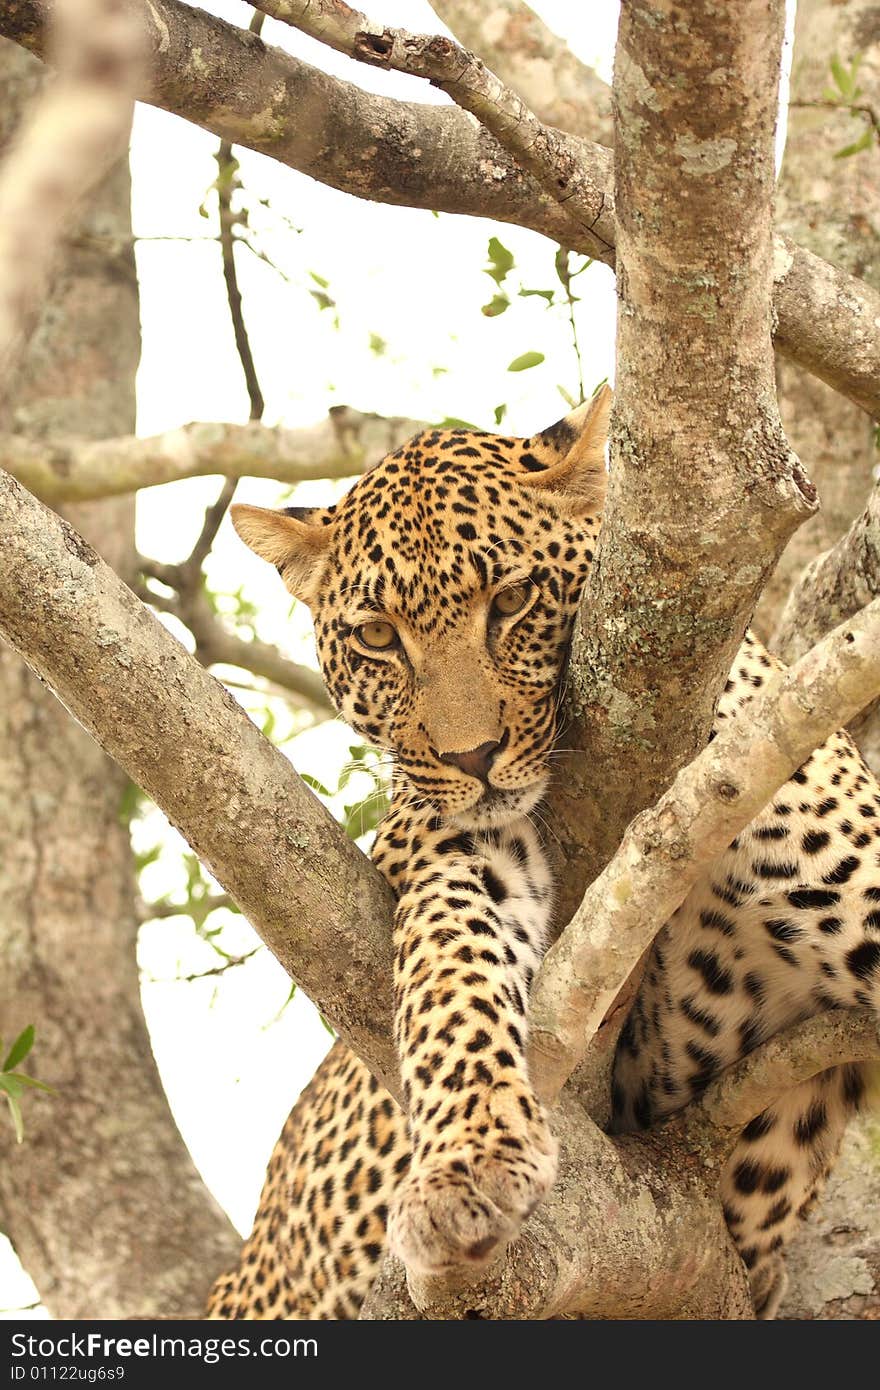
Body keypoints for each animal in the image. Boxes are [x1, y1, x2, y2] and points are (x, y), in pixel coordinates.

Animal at [207, 386, 878, 1317]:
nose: (472, 758)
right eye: (378, 637)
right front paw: (469, 1166)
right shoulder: (456, 853)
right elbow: (450, 985)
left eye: (514, 598)